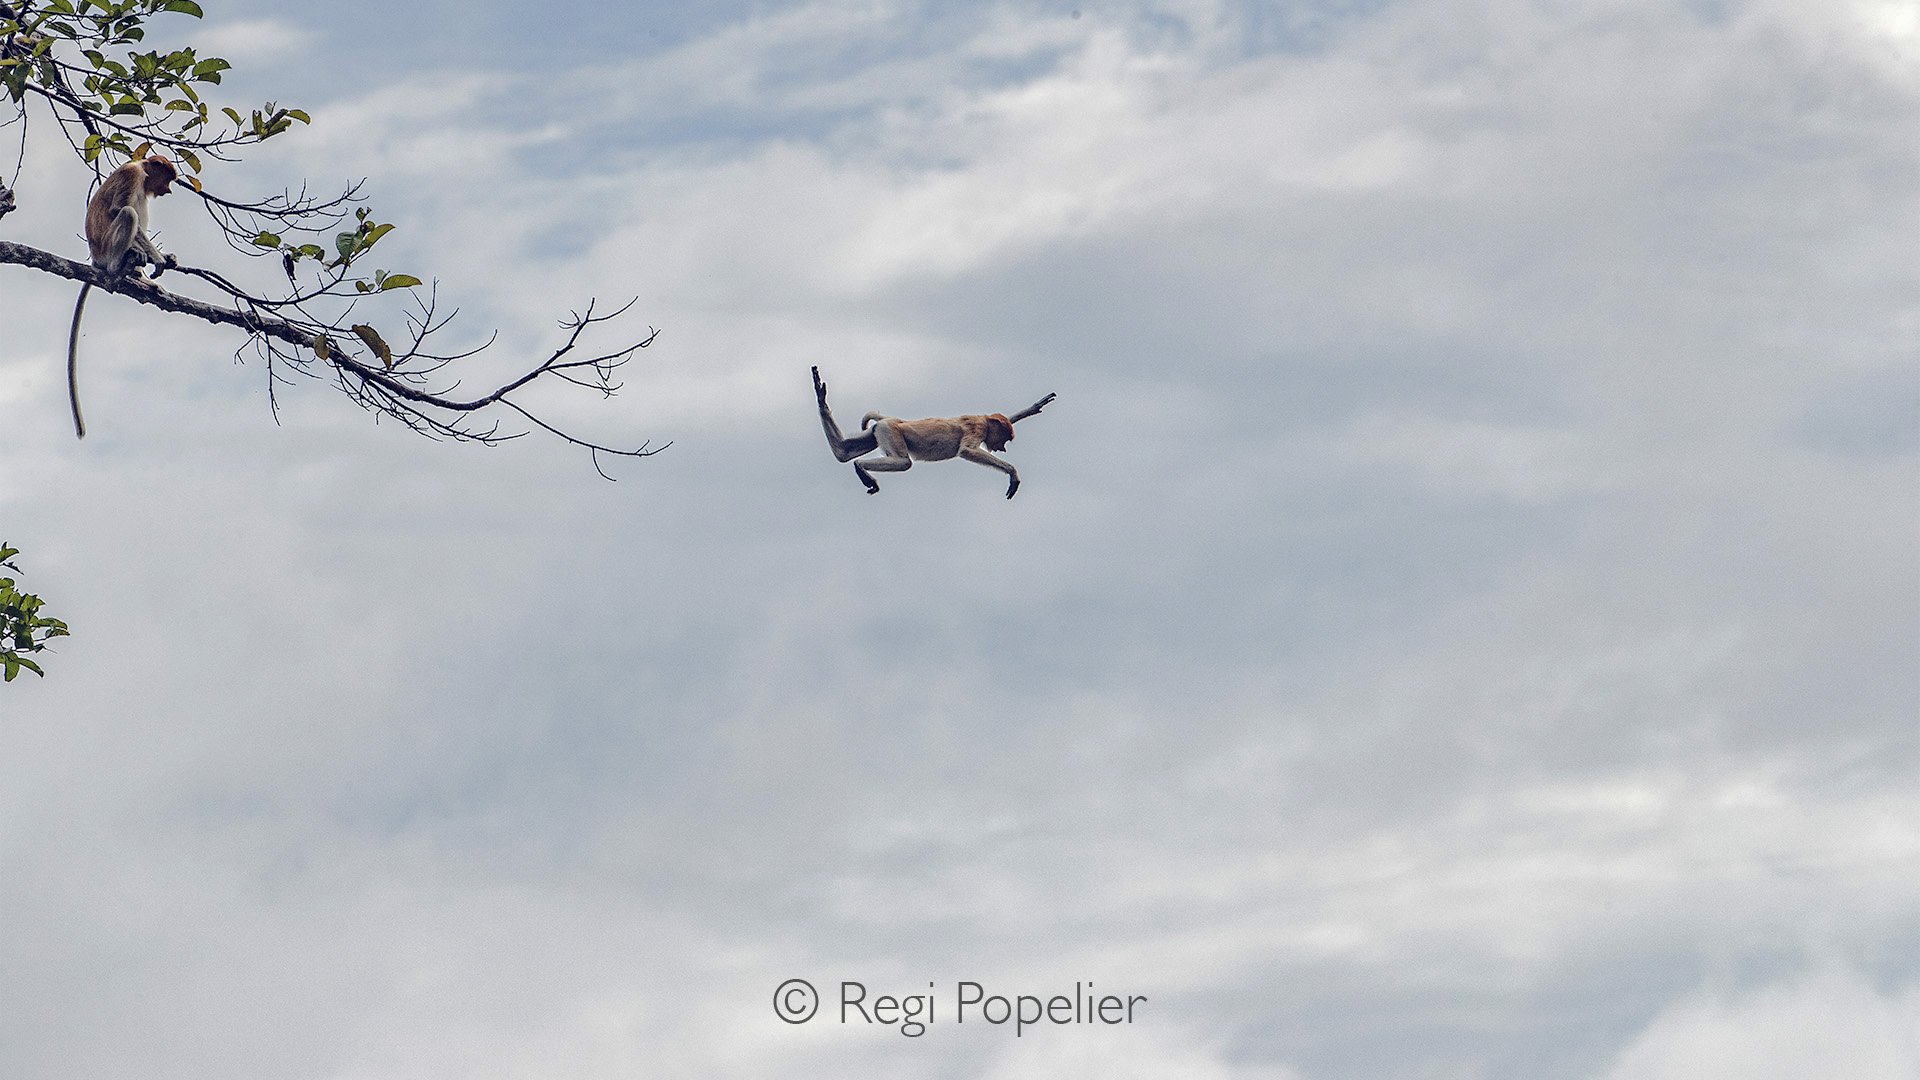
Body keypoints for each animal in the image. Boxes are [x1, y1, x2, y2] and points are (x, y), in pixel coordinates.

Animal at [66, 154, 180, 439]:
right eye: (168, 178)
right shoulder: (132, 175)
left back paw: (141, 278)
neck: (141, 166)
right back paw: (121, 265)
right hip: (108, 246)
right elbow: (119, 208)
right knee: (129, 213)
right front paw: (159, 258)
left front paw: (166, 260)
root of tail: (96, 260)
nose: (169, 190)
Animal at [813, 365, 1055, 499]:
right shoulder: (977, 426)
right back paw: (861, 468)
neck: (986, 420)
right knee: (903, 462)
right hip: (891, 431)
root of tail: (889, 420)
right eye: (1004, 438)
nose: (1002, 448)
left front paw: (1033, 407)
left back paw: (822, 400)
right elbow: (967, 450)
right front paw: (1013, 474)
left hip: (878, 431)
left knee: (844, 452)